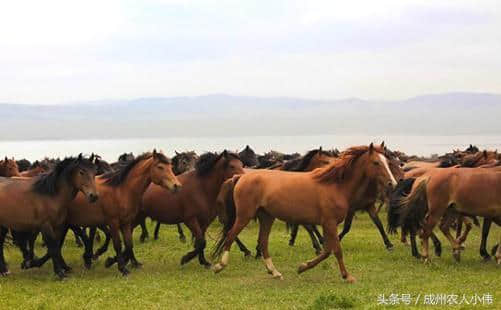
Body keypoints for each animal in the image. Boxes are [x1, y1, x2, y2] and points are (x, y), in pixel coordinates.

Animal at [213, 144, 396, 282]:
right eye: (376, 163)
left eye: (386, 162)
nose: (392, 183)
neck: (335, 185)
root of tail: (240, 177)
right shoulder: (329, 223)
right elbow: (336, 250)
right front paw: (347, 276)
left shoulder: (327, 224)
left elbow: (327, 250)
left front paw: (302, 267)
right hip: (245, 215)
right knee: (230, 235)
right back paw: (219, 266)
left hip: (266, 217)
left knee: (263, 242)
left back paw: (274, 272)